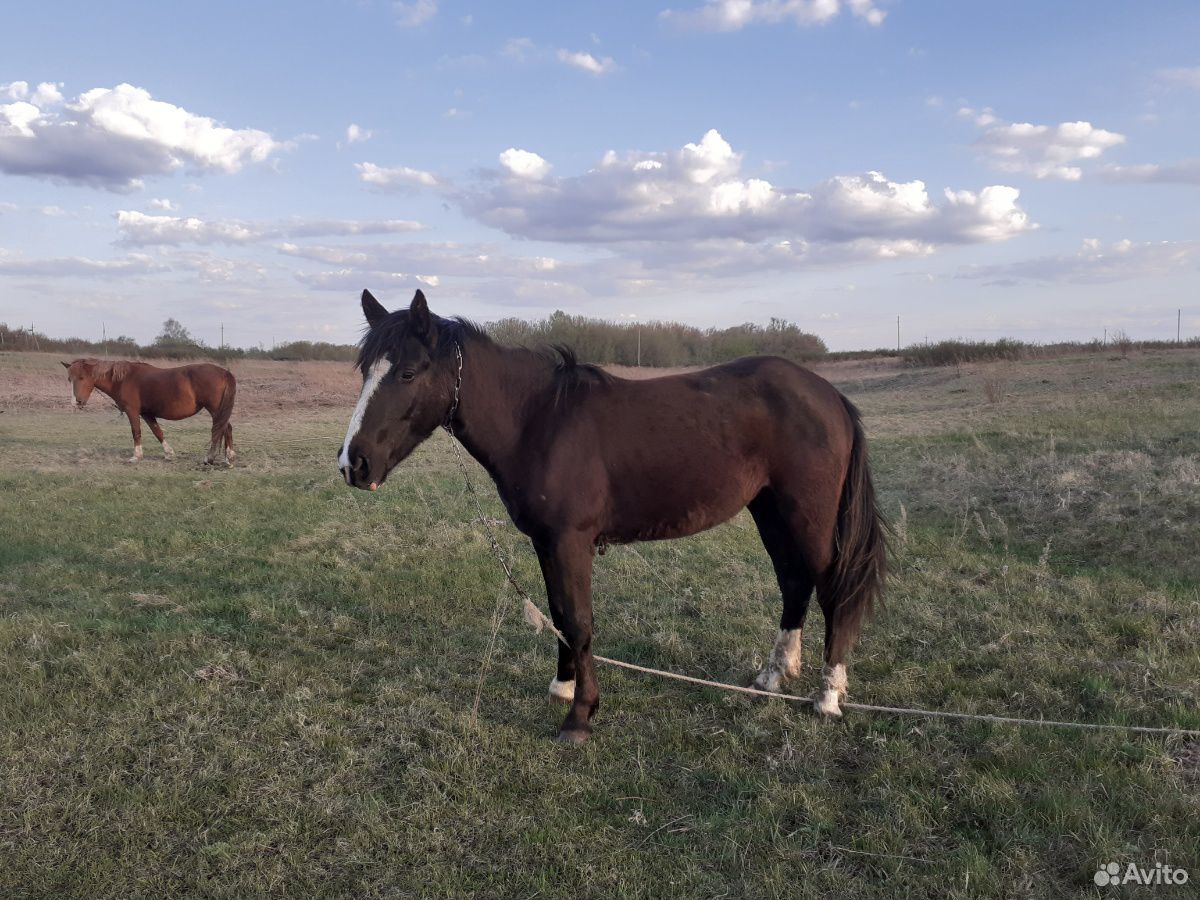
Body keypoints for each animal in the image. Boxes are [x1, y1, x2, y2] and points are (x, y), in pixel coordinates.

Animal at [64, 357, 237, 465]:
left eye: (82, 377)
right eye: (69, 379)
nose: (77, 402)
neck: (123, 379)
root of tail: (224, 372)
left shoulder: (132, 411)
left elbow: (136, 432)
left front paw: (136, 456)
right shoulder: (147, 414)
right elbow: (157, 432)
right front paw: (169, 453)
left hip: (216, 410)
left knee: (223, 429)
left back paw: (216, 458)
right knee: (225, 429)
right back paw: (228, 457)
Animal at [343, 290, 888, 748]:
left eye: (408, 372)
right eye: (365, 370)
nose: (354, 464)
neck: (539, 421)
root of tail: (828, 395)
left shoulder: (570, 542)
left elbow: (579, 621)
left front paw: (580, 717)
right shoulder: (546, 543)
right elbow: (560, 614)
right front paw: (562, 687)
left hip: (808, 517)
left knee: (832, 591)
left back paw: (827, 696)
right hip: (769, 510)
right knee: (794, 582)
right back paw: (773, 675)